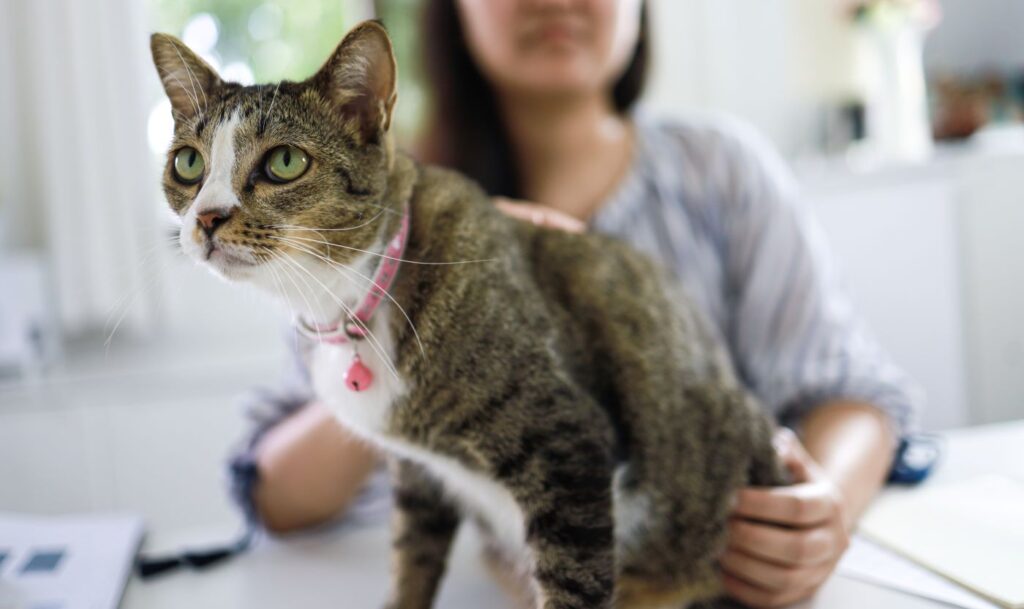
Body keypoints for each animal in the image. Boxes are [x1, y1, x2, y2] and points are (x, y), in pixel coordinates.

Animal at [149, 19, 782, 609]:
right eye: (188, 163)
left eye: (284, 161)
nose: (206, 218)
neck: (355, 297)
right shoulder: (419, 473)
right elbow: (412, 554)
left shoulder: (567, 439)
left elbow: (572, 581)